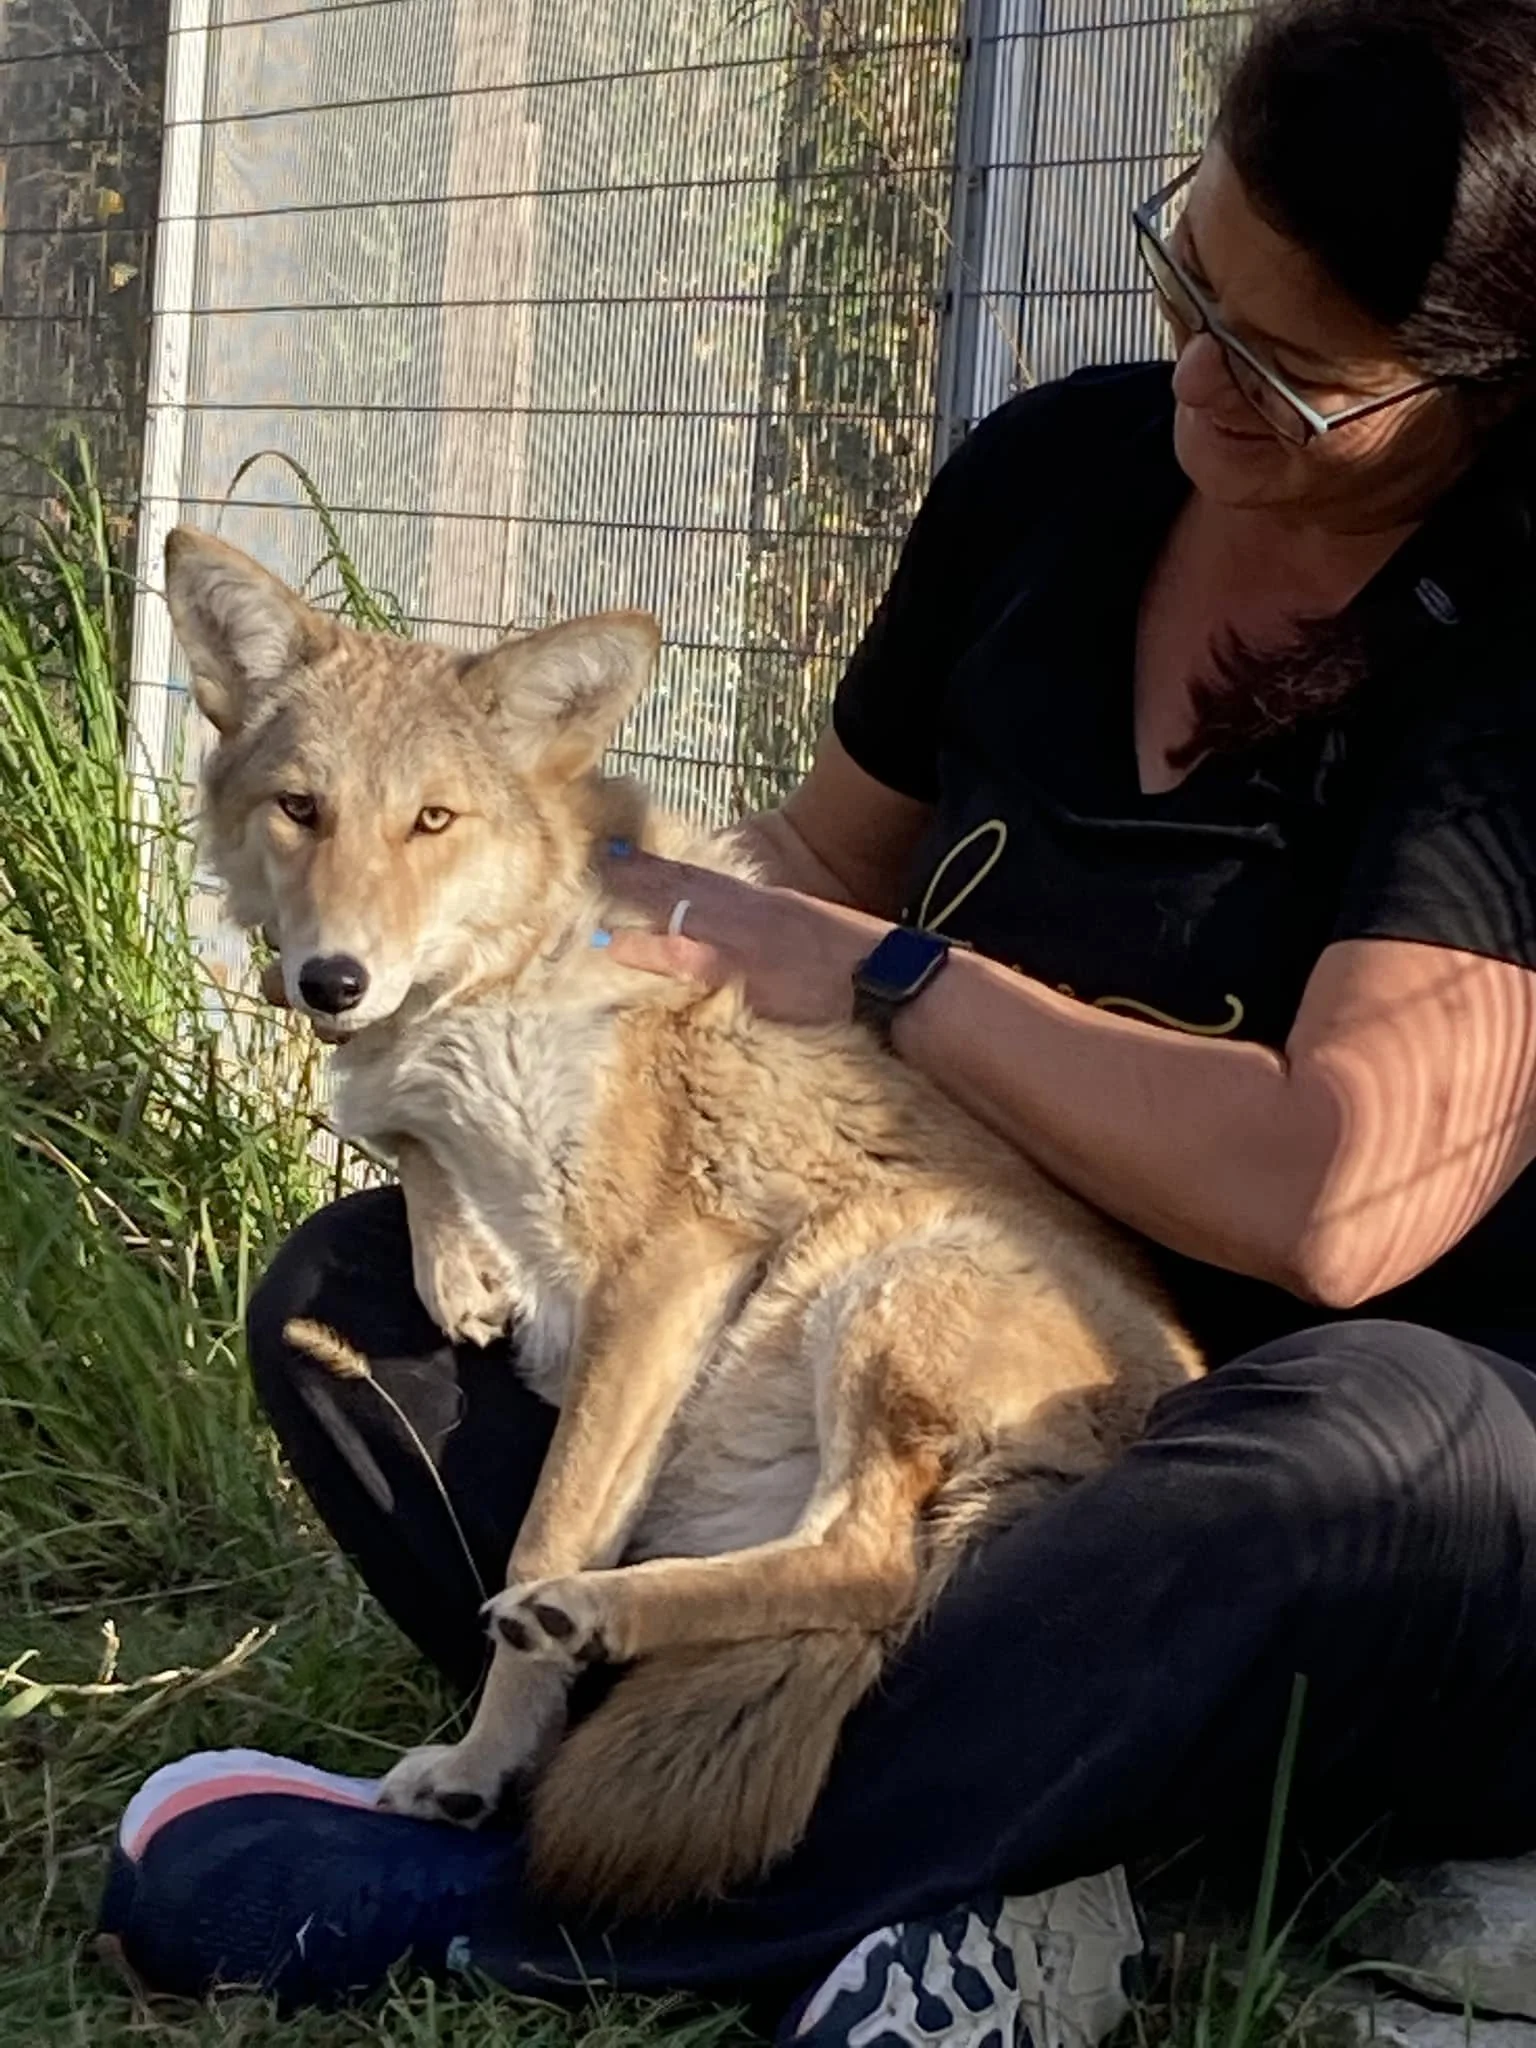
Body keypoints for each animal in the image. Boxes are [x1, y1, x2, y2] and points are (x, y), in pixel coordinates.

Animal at [164, 525, 1204, 1912]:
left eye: (432, 819)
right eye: (300, 809)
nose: (331, 977)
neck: (502, 978)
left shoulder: (666, 1268)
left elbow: (541, 1532)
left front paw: (483, 1760)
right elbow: (400, 1131)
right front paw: (459, 1264)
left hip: (883, 1274)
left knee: (859, 1560)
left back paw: (595, 1609)